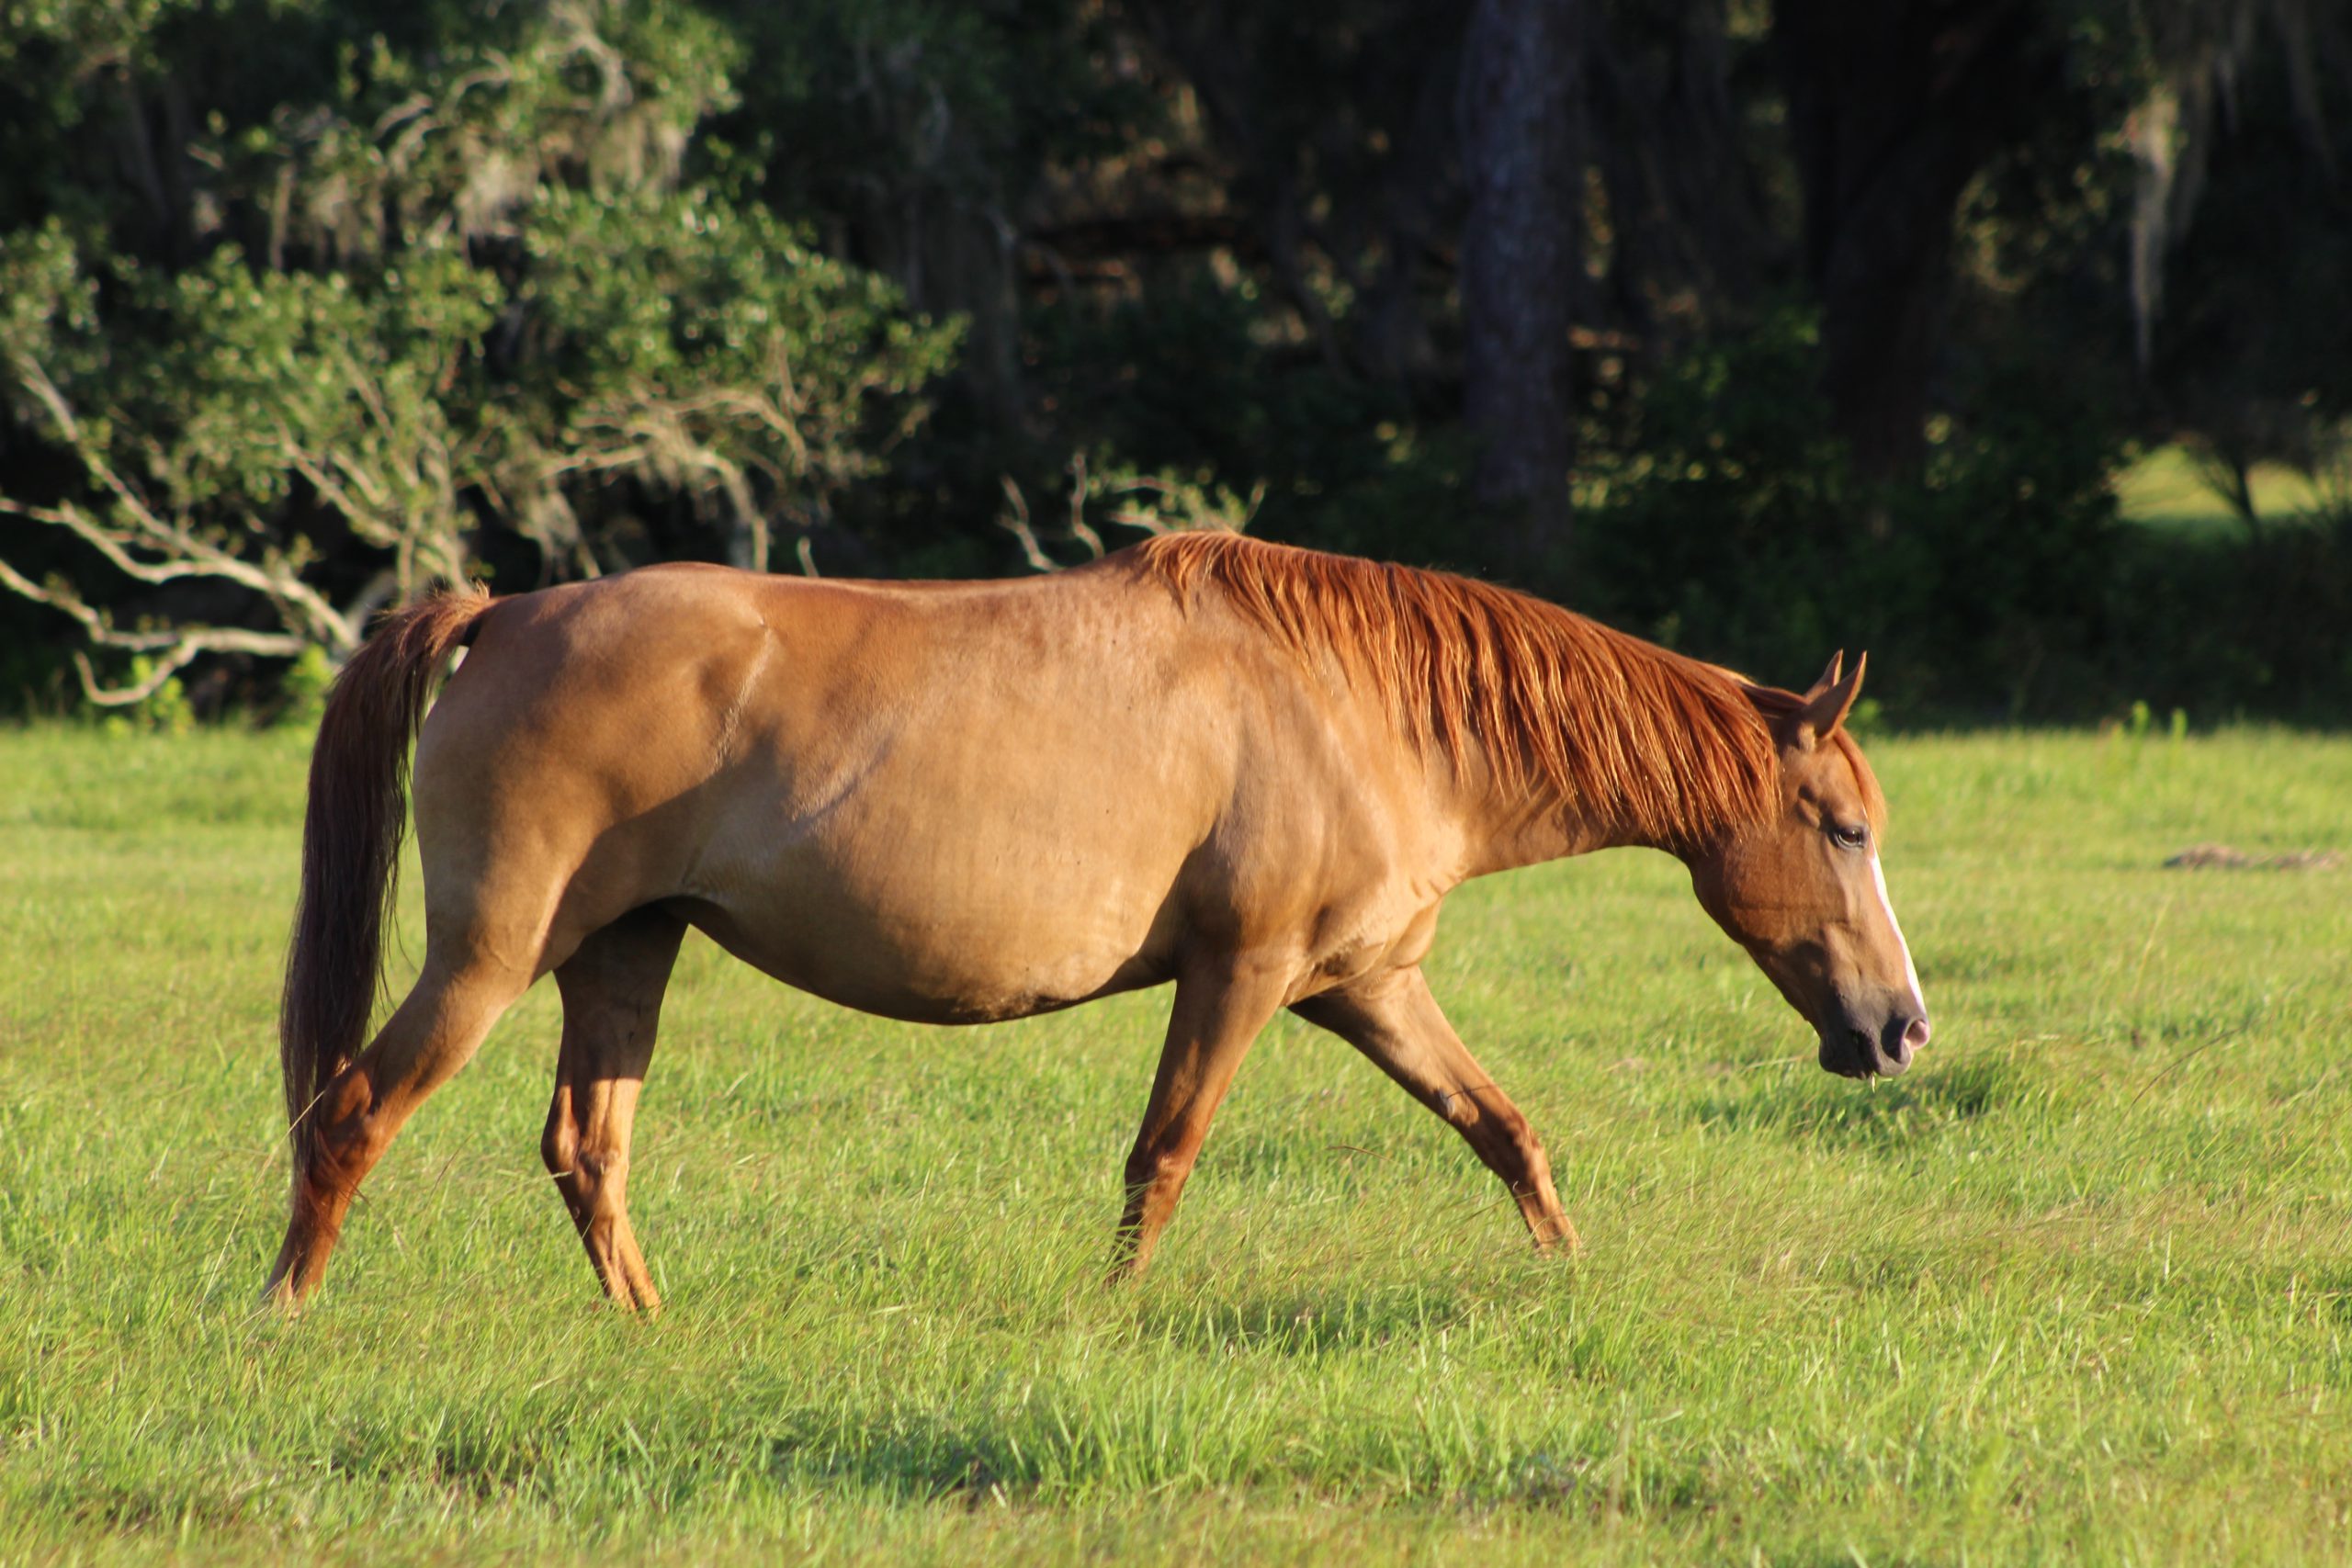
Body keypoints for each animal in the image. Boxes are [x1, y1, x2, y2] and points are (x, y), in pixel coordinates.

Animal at [270, 533, 1928, 1306]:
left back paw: (651, 1326)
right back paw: (286, 1312)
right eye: (1846, 829)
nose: (1902, 1028)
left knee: (587, 1152)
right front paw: (1114, 1313)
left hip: (628, 950)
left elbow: (1506, 1130)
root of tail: (505, 612)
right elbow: (1166, 1154)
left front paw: (1569, 1274)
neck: (1368, 707)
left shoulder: (1367, 984)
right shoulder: (1244, 973)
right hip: (493, 957)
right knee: (349, 1114)